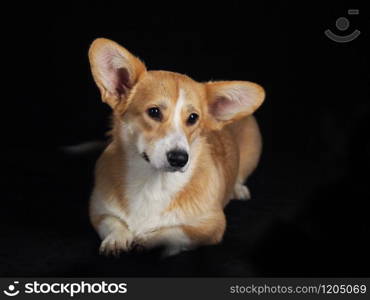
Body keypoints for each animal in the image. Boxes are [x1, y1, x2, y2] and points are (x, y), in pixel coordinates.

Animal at [88, 38, 264, 256]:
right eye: (154, 112)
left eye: (193, 118)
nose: (179, 159)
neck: (153, 182)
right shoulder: (99, 211)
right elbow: (112, 223)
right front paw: (117, 239)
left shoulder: (212, 225)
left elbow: (176, 232)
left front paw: (148, 239)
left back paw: (238, 189)